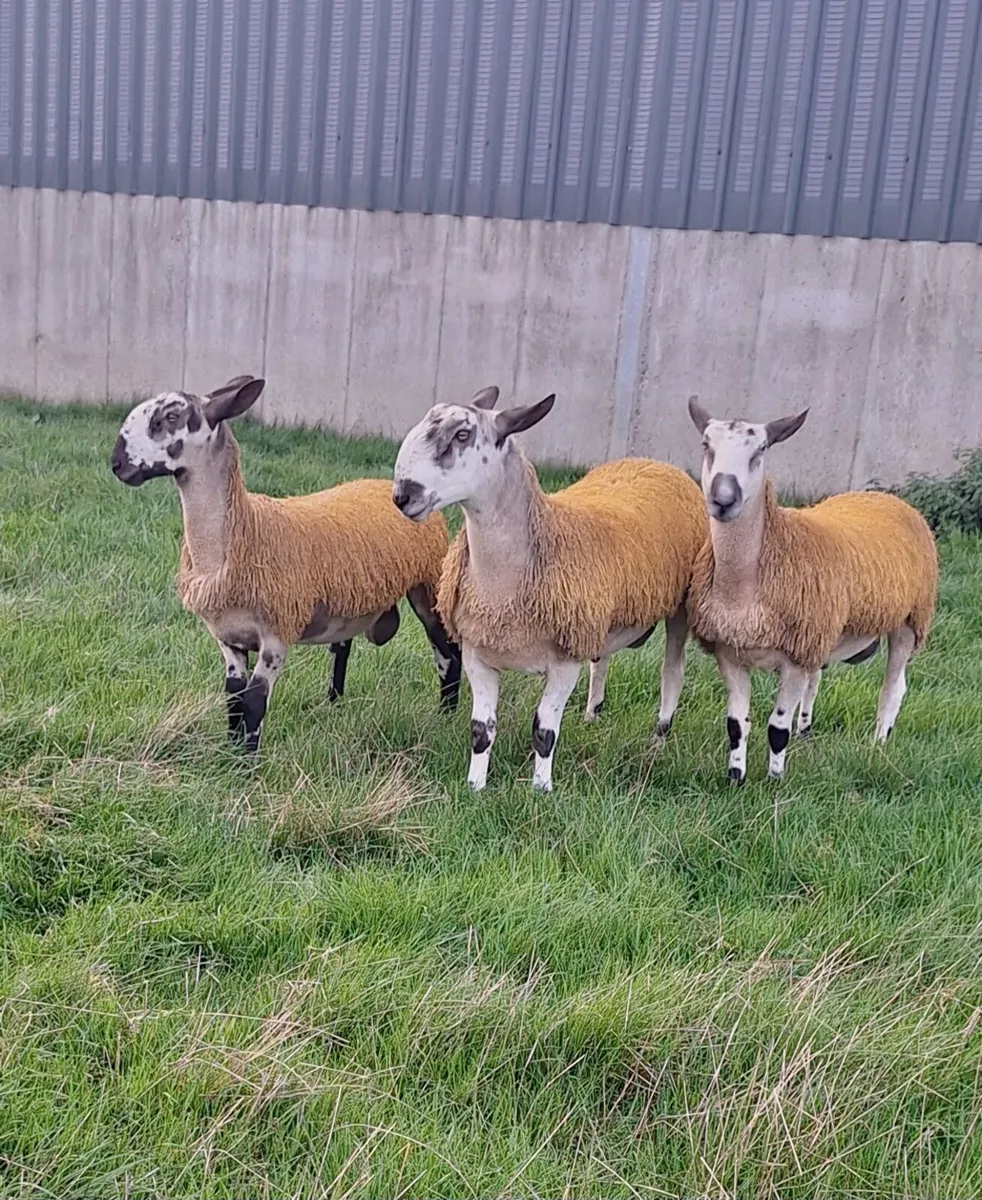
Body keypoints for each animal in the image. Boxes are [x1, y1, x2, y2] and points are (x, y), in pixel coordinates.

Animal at [110, 375, 461, 752]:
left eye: (172, 416)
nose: (116, 463)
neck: (241, 533)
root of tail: (388, 486)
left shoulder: (276, 634)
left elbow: (254, 701)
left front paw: (247, 760)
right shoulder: (228, 639)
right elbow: (233, 697)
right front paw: (231, 751)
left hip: (428, 582)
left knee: (446, 652)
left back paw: (446, 716)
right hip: (348, 596)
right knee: (342, 647)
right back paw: (332, 704)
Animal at [391, 386, 709, 793]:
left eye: (462, 435)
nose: (402, 496)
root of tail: (654, 463)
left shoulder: (564, 661)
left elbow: (544, 731)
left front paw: (541, 789)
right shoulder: (478, 652)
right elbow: (481, 730)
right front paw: (475, 786)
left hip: (681, 605)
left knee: (672, 672)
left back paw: (658, 738)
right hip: (593, 620)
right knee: (601, 662)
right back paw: (592, 715)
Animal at [685, 396, 938, 783]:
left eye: (761, 450)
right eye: (706, 444)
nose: (723, 499)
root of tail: (883, 497)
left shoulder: (794, 656)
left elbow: (777, 728)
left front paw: (774, 781)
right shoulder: (730, 652)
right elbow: (736, 725)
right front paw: (735, 778)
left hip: (909, 621)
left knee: (893, 689)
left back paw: (878, 744)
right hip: (821, 635)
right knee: (816, 682)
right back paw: (806, 733)